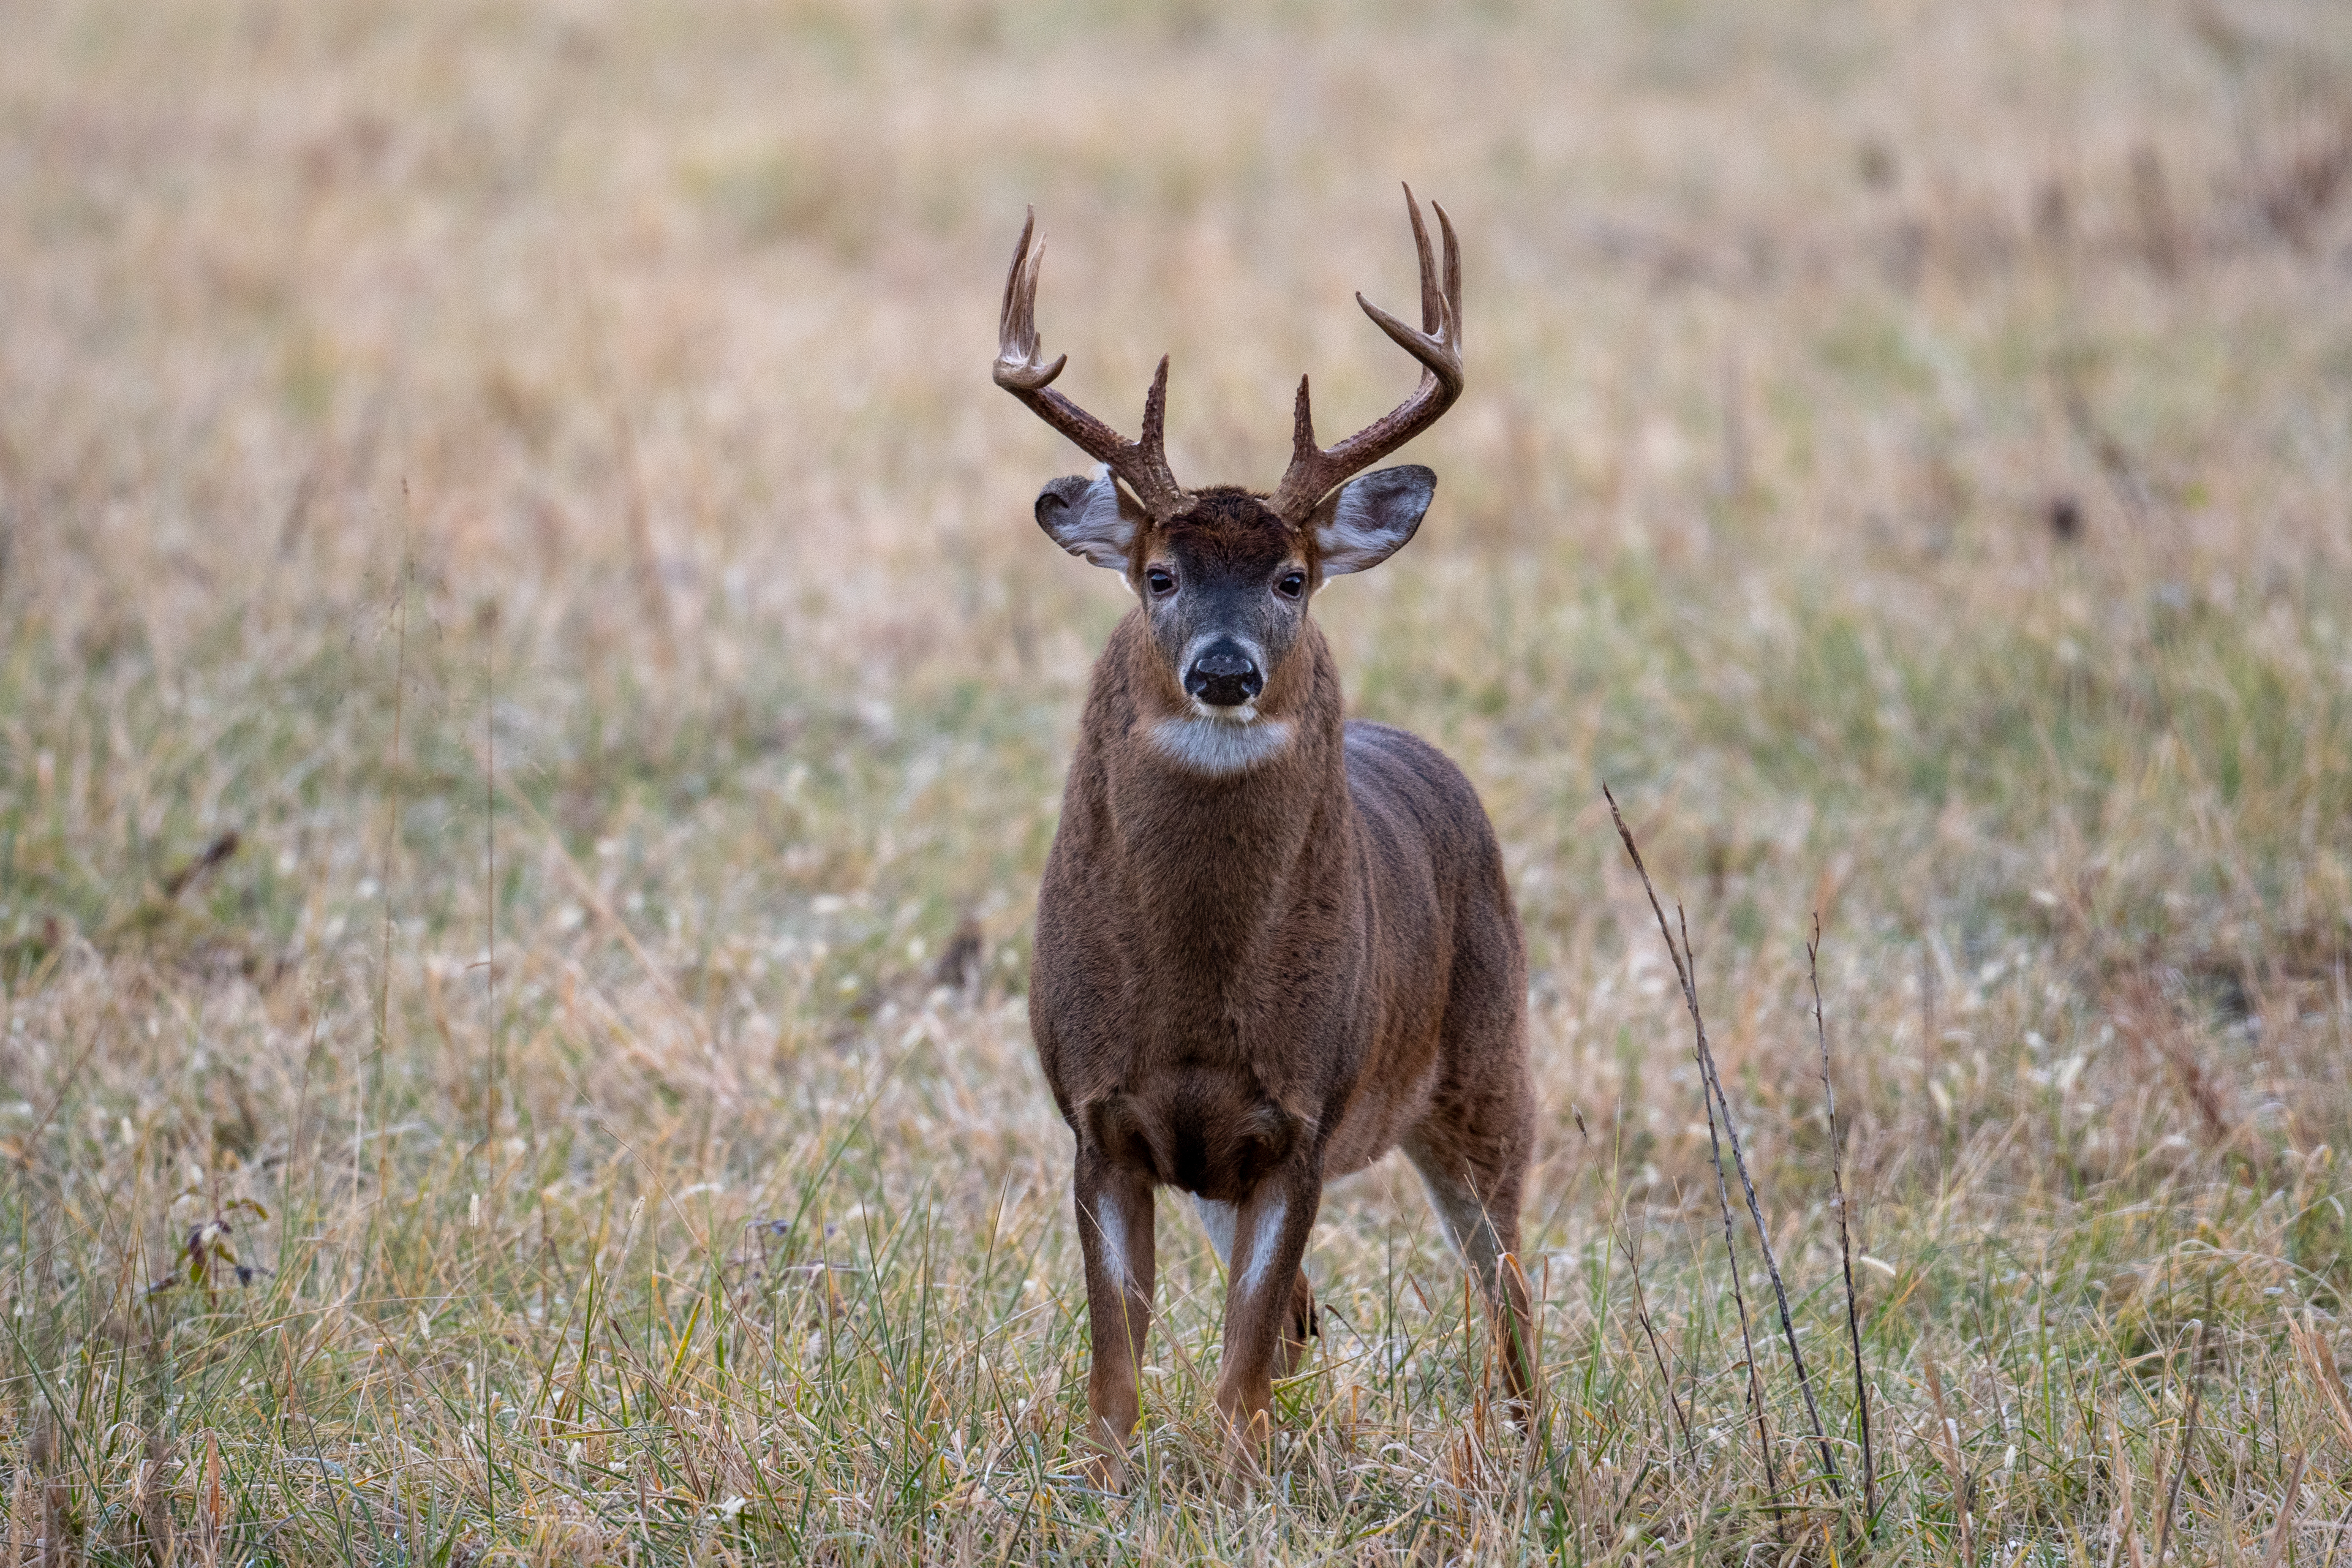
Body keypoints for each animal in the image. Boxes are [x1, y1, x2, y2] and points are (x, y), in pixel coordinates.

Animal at [997, 190, 1533, 1495]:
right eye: (1158, 574)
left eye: (1293, 576)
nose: (1226, 669)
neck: (1195, 996)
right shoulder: (1098, 1116)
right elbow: (1121, 1369)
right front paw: (1107, 1488)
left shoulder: (1303, 1118)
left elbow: (1240, 1374)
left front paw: (1238, 1493)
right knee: (1313, 1323)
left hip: (1492, 1071)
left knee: (1508, 1289)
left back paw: (1523, 1450)